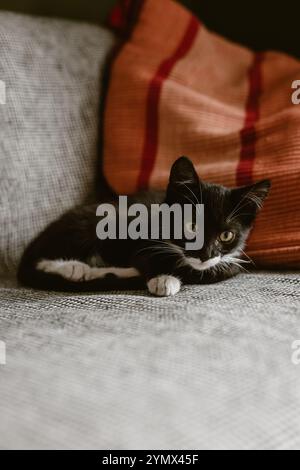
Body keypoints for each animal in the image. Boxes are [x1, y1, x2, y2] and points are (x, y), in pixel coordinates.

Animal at [17, 158, 270, 298]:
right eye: (191, 225)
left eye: (226, 235)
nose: (205, 255)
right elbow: (146, 257)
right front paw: (163, 279)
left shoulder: (233, 260)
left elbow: (217, 270)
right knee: (43, 259)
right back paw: (75, 268)